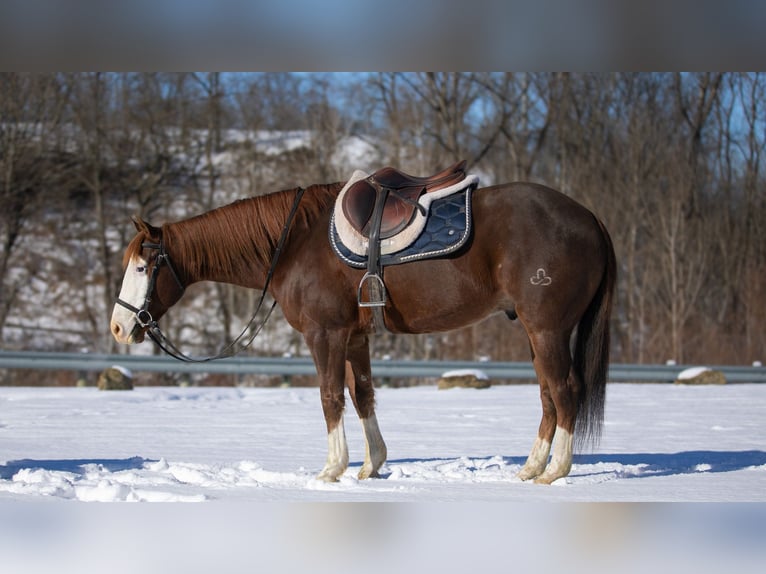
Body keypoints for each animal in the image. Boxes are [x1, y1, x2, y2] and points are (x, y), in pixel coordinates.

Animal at [111, 174, 616, 486]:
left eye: (142, 267)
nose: (118, 327)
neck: (295, 243)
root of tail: (590, 218)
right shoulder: (354, 337)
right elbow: (363, 395)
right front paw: (372, 466)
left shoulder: (325, 335)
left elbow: (330, 396)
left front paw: (332, 468)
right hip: (536, 333)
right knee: (548, 393)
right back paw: (531, 468)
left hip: (548, 329)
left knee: (565, 389)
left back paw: (555, 471)